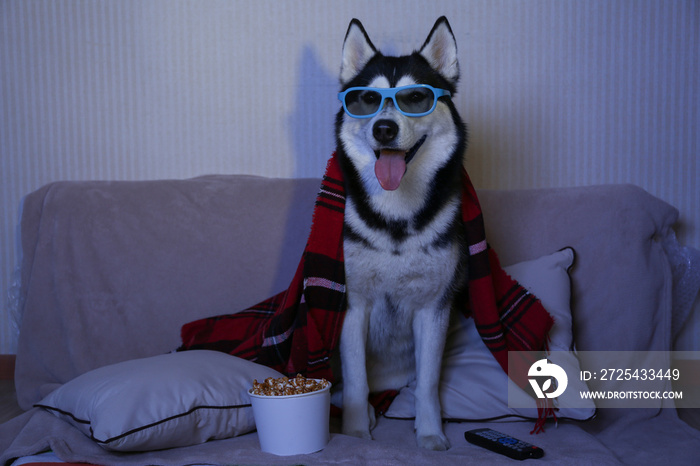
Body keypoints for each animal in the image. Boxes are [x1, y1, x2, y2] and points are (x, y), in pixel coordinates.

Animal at [336, 16, 468, 450]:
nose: (384, 128)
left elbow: (427, 383)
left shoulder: (434, 308)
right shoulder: (351, 306)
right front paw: (355, 432)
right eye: (366, 99)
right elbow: (356, 381)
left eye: (416, 97)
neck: (396, 216)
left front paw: (430, 433)